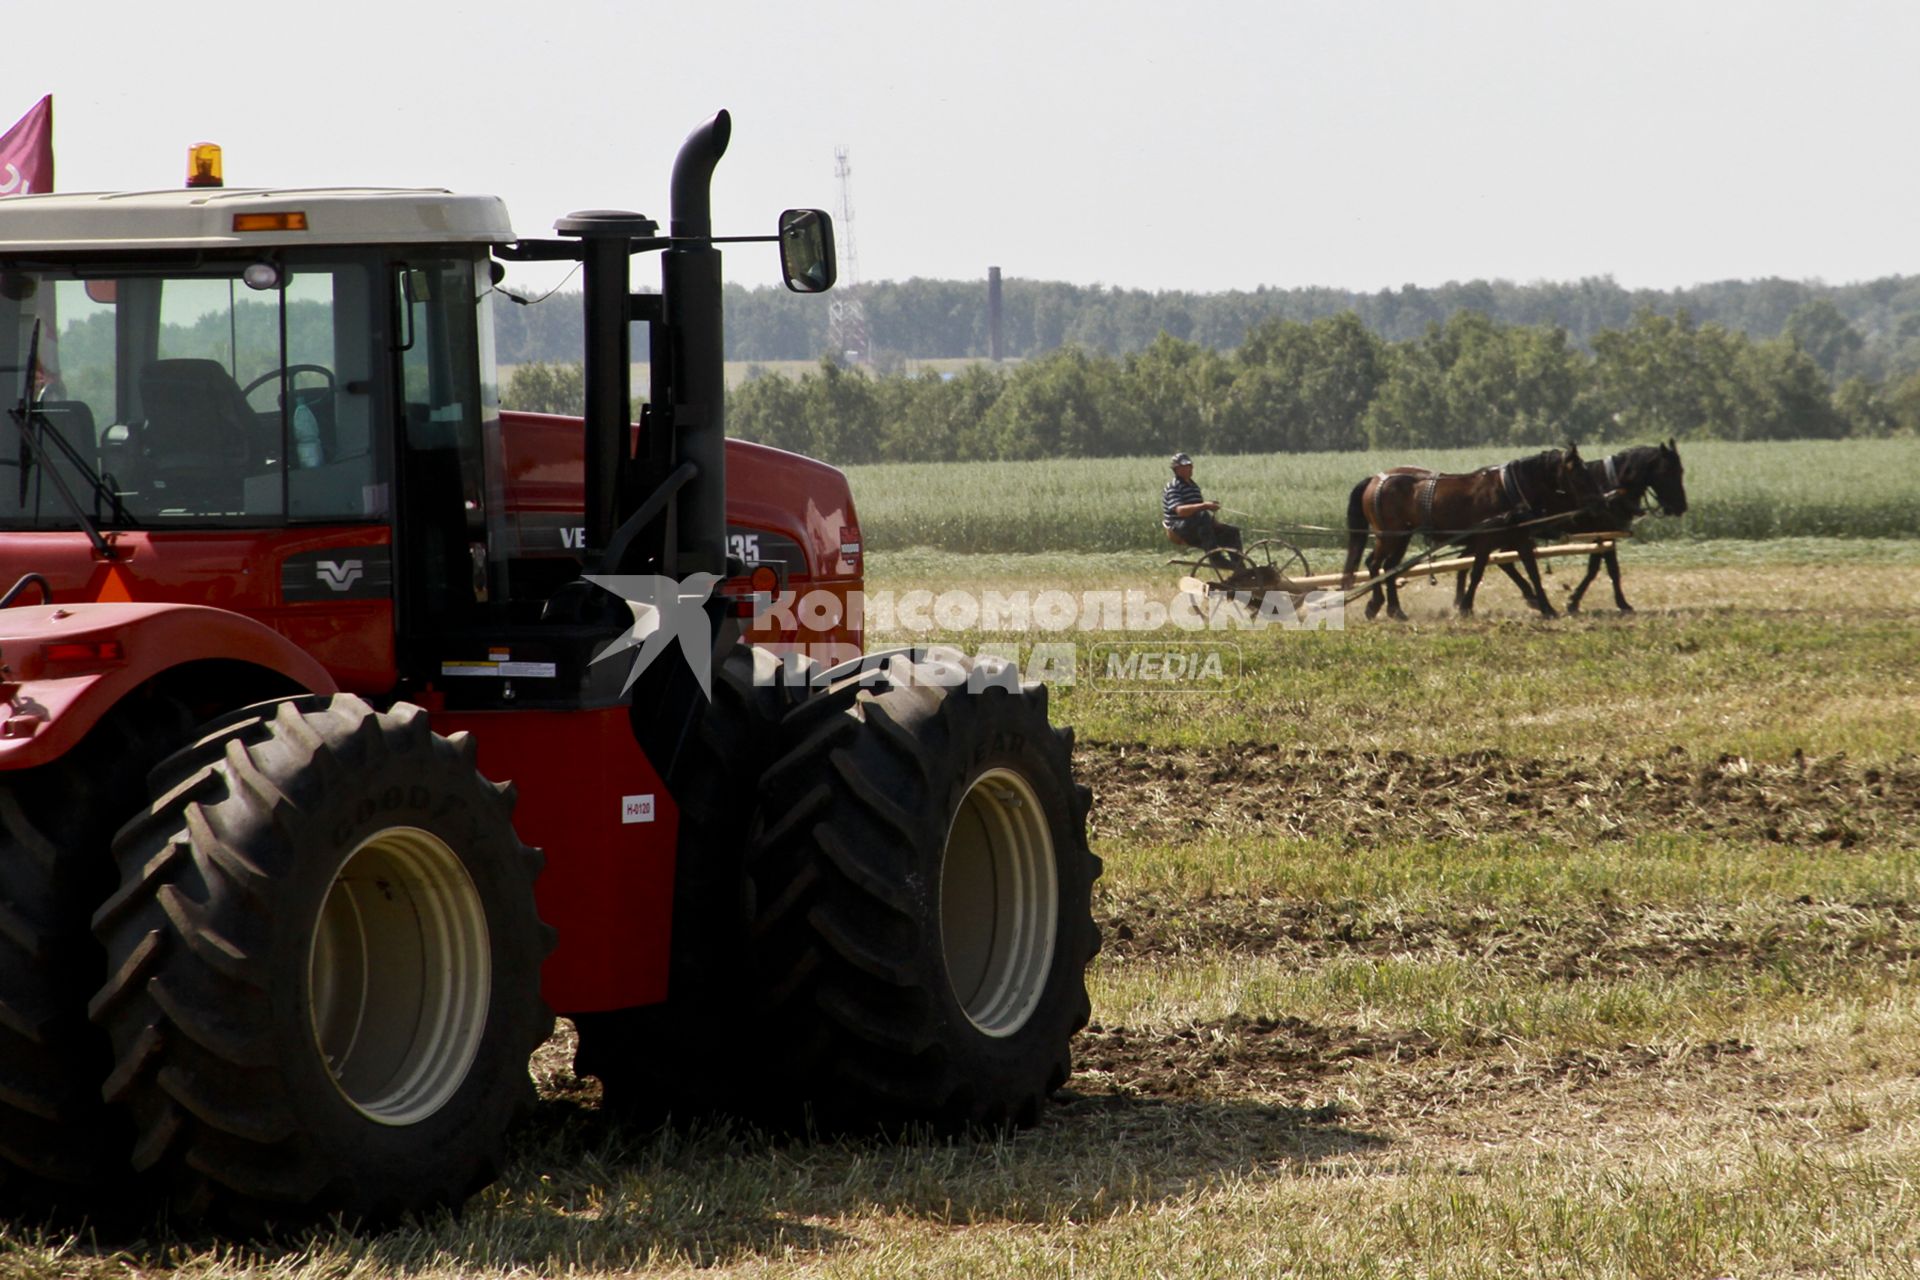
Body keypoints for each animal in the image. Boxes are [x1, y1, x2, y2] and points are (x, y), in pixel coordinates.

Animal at [1344, 449, 1597, 621]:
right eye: (1578, 476)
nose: (1598, 503)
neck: (1509, 490)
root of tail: (1375, 479)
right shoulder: (1485, 540)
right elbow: (1476, 572)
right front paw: (1465, 607)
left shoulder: (1520, 540)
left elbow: (1533, 573)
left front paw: (1547, 607)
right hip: (1389, 535)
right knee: (1374, 563)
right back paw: (1376, 604)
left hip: (1402, 536)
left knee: (1389, 567)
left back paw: (1395, 610)